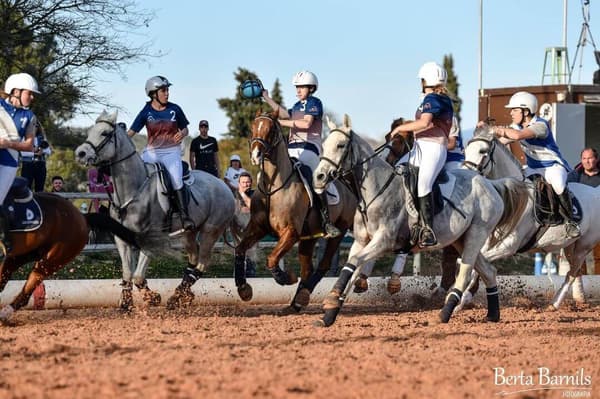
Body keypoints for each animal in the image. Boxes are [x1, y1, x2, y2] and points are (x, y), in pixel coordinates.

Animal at [74, 111, 236, 310]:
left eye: (104, 133)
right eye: (90, 131)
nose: (80, 153)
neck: (133, 189)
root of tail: (224, 186)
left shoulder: (151, 239)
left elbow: (138, 276)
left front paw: (153, 298)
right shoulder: (122, 239)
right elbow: (128, 274)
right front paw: (126, 302)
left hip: (210, 231)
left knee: (201, 264)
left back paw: (177, 297)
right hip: (190, 232)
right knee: (193, 259)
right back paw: (182, 295)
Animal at [233, 111, 356, 314]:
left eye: (271, 129)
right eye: (253, 127)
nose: (256, 155)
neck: (273, 187)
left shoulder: (290, 232)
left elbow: (272, 259)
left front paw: (286, 277)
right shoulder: (257, 228)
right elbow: (240, 249)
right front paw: (243, 289)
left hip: (340, 230)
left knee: (323, 264)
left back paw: (303, 296)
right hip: (309, 237)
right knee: (307, 269)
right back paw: (296, 303)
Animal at [312, 115, 528, 328]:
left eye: (340, 145)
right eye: (324, 144)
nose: (319, 177)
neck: (376, 190)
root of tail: (491, 183)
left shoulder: (383, 241)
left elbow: (355, 262)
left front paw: (331, 299)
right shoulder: (361, 241)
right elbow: (353, 268)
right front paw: (329, 315)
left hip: (477, 234)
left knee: (465, 274)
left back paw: (444, 314)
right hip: (461, 239)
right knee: (489, 271)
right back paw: (493, 314)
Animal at [466, 125, 600, 310]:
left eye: (482, 151)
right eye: (465, 151)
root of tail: (595, 192)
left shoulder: (508, 246)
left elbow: (476, 266)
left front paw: (461, 298)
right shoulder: (487, 241)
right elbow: (473, 264)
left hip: (584, 245)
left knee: (573, 273)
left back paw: (554, 304)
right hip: (569, 245)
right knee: (574, 270)